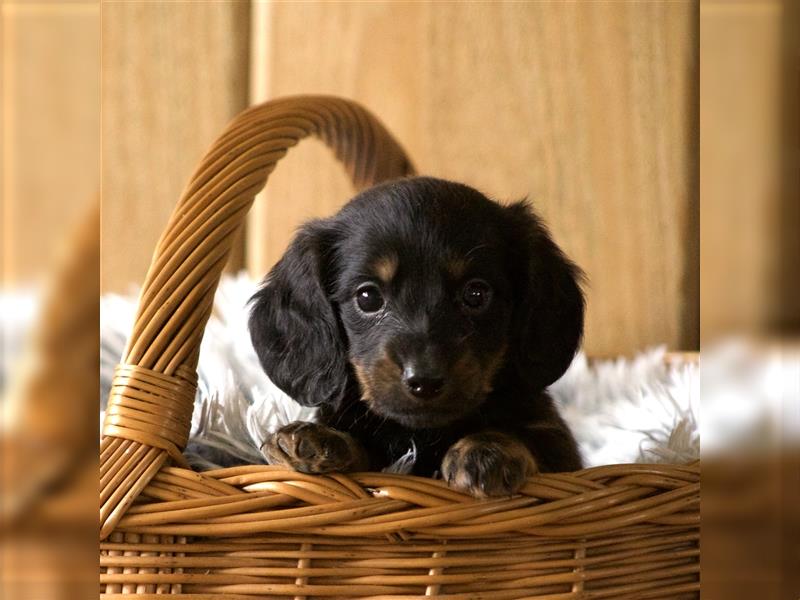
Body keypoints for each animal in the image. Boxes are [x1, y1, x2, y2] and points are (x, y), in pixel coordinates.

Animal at [247, 176, 584, 494]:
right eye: (367, 297)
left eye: (476, 293)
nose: (424, 381)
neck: (421, 434)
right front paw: (321, 439)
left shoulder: (560, 447)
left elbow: (529, 439)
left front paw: (486, 450)